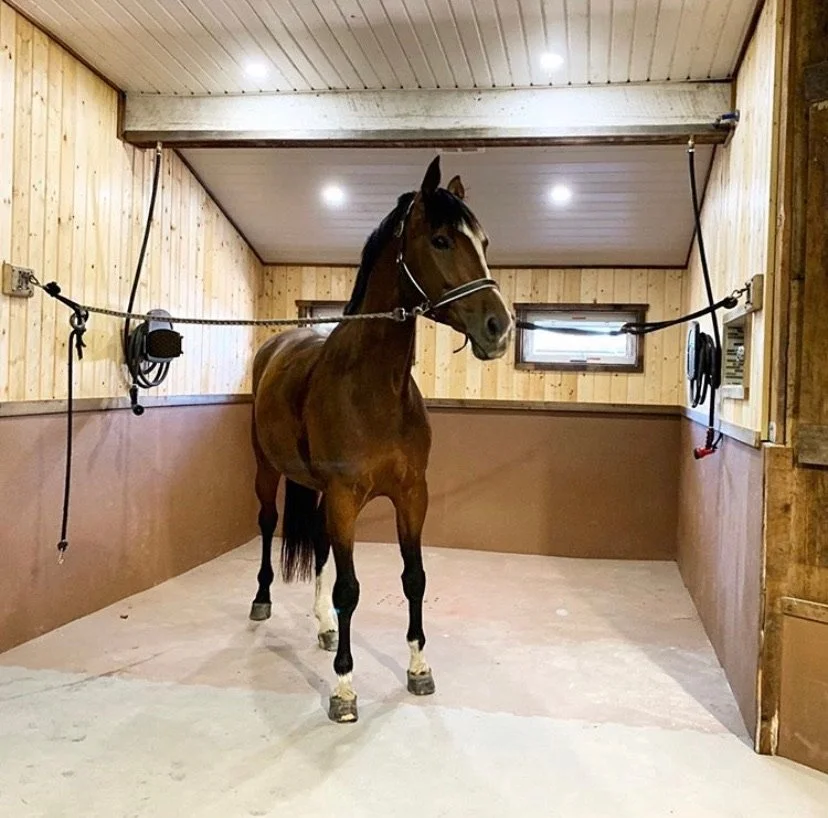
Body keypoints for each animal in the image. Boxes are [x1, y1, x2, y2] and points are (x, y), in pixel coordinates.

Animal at [249, 156, 512, 723]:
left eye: (484, 240)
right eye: (440, 240)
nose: (499, 327)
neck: (373, 387)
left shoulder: (412, 494)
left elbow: (414, 578)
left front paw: (418, 667)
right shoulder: (346, 497)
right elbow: (350, 588)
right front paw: (344, 688)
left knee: (319, 545)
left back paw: (325, 627)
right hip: (266, 470)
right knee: (267, 523)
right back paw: (262, 600)